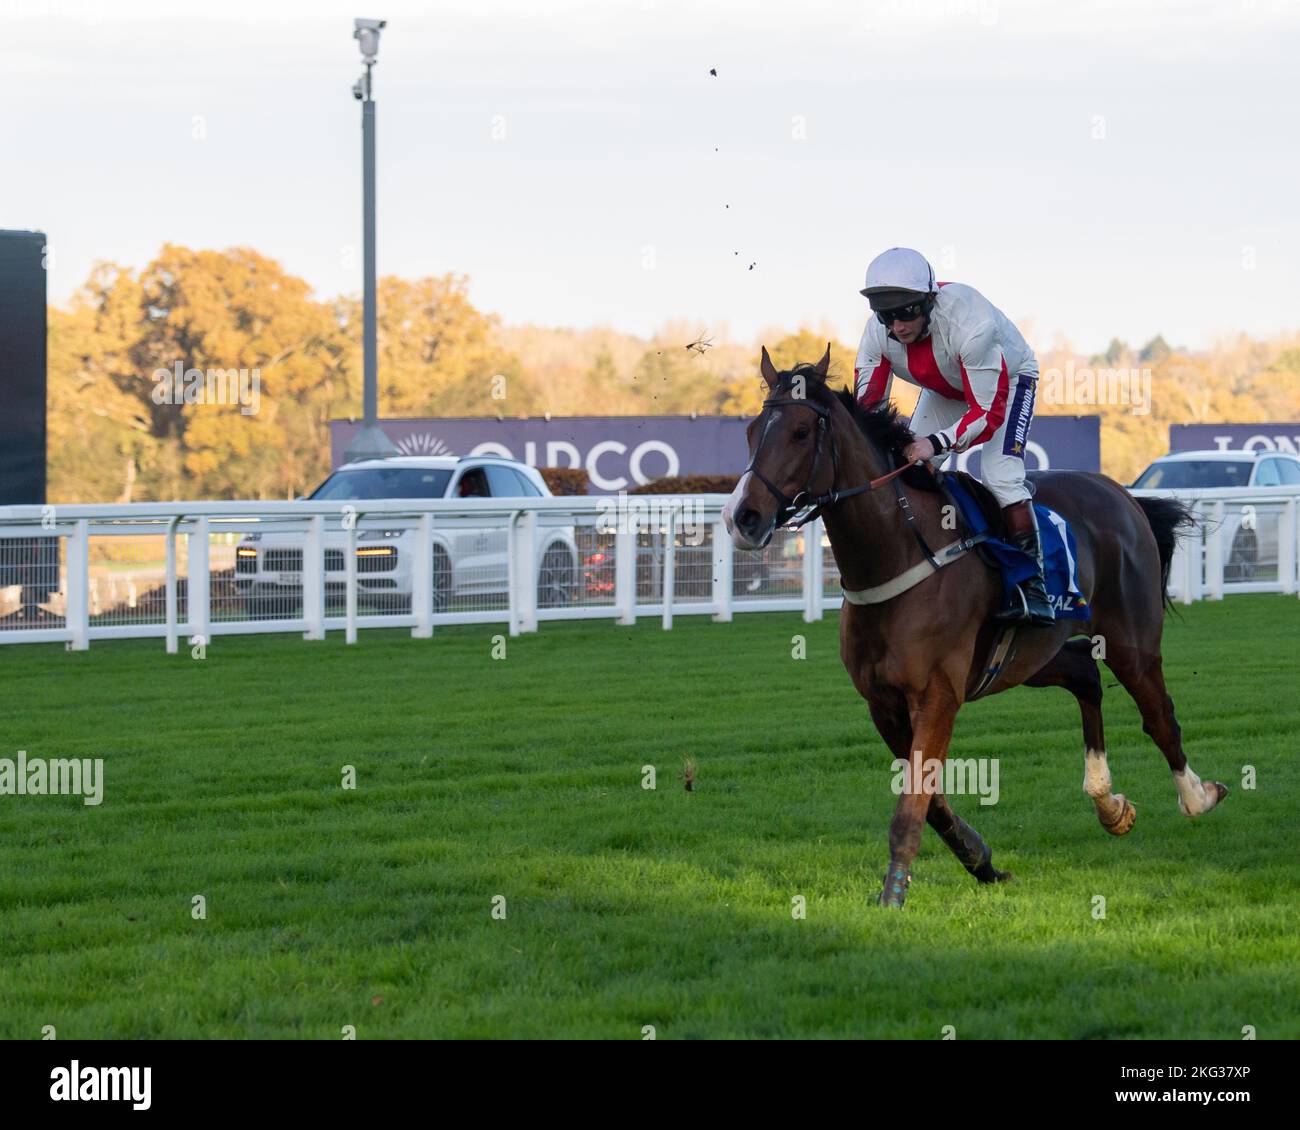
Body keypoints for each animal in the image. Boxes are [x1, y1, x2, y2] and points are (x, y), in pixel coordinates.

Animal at [722, 343, 1227, 910]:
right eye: (751, 431)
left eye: (800, 432)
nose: (743, 517)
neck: (898, 553)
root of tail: (1120, 493)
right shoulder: (883, 703)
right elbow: (932, 800)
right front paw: (981, 859)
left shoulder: (938, 693)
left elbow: (914, 802)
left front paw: (893, 893)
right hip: (1028, 657)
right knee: (1085, 675)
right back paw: (1108, 804)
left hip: (1130, 642)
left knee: (1158, 715)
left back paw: (1198, 796)